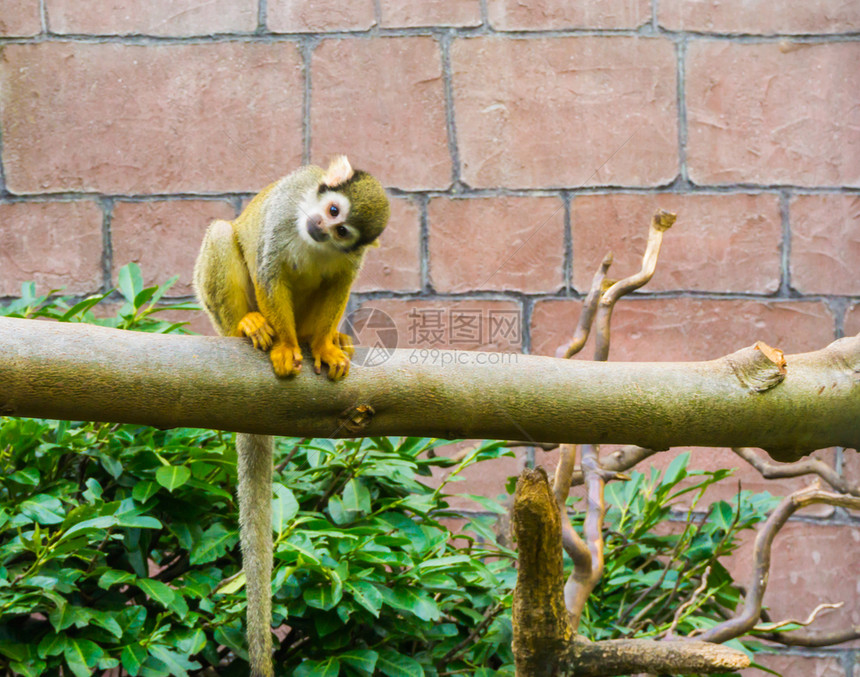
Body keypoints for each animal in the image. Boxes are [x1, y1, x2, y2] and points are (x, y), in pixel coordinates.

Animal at [193, 156, 388, 672]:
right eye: (333, 208)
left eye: (344, 230)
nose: (321, 226)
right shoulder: (285, 214)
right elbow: (270, 270)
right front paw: (282, 348)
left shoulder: (349, 256)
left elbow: (339, 281)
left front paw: (323, 347)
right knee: (222, 234)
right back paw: (251, 327)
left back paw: (322, 339)